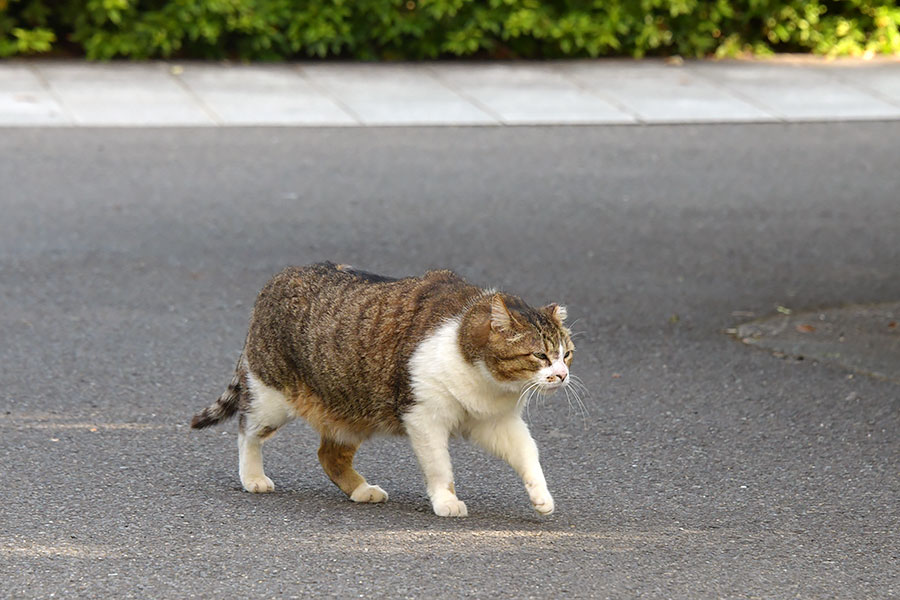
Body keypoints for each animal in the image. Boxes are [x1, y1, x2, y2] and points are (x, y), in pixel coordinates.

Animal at [190, 262, 576, 516]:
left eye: (567, 354)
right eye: (540, 355)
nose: (561, 375)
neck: (488, 383)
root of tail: (278, 277)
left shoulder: (496, 423)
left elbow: (528, 453)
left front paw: (541, 496)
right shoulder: (423, 416)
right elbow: (440, 466)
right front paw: (446, 501)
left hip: (351, 408)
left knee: (329, 455)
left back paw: (361, 490)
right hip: (272, 396)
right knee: (247, 429)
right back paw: (253, 476)